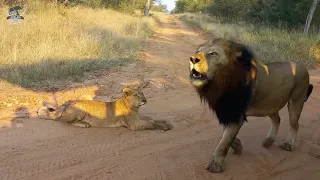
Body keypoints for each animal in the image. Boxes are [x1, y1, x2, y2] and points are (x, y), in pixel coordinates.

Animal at [37, 86, 172, 131]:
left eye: (142, 93)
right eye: (136, 95)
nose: (145, 100)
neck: (134, 108)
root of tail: (67, 104)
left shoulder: (138, 119)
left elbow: (150, 119)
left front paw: (164, 121)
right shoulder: (135, 126)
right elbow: (151, 124)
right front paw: (165, 126)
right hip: (77, 111)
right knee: (63, 121)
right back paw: (84, 124)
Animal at [189, 38, 314, 173]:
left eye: (213, 54)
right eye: (198, 51)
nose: (192, 59)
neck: (220, 83)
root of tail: (302, 66)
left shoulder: (236, 113)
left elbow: (225, 140)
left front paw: (216, 164)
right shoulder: (227, 112)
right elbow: (226, 135)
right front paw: (238, 146)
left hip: (296, 100)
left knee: (294, 125)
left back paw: (289, 144)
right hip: (270, 104)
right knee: (277, 120)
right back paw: (269, 141)